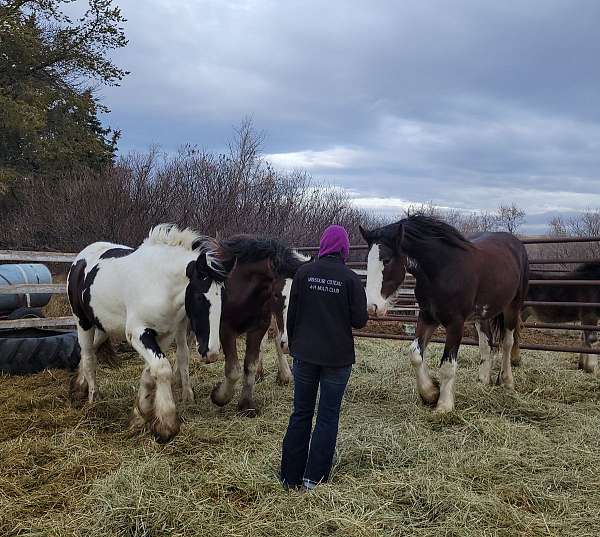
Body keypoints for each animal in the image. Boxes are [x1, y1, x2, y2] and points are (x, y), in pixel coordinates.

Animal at [68, 224, 226, 442]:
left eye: (222, 298)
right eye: (200, 297)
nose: (211, 353)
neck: (158, 283)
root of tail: (81, 258)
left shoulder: (164, 335)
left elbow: (150, 375)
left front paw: (139, 416)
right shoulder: (138, 333)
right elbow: (162, 368)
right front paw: (166, 424)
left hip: (102, 327)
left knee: (89, 351)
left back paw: (79, 386)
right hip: (82, 322)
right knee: (89, 356)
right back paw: (93, 400)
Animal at [207, 237, 310, 416]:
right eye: (276, 294)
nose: (290, 344)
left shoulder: (259, 328)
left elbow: (251, 364)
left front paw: (246, 405)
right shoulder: (225, 329)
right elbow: (233, 370)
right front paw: (219, 397)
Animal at [358, 216, 528, 412]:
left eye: (386, 260)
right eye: (367, 261)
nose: (372, 307)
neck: (443, 270)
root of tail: (516, 243)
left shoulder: (455, 323)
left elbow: (447, 364)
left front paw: (443, 405)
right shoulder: (427, 316)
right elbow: (415, 354)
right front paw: (430, 393)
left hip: (513, 306)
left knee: (507, 343)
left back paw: (507, 381)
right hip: (481, 315)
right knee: (487, 345)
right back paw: (483, 381)